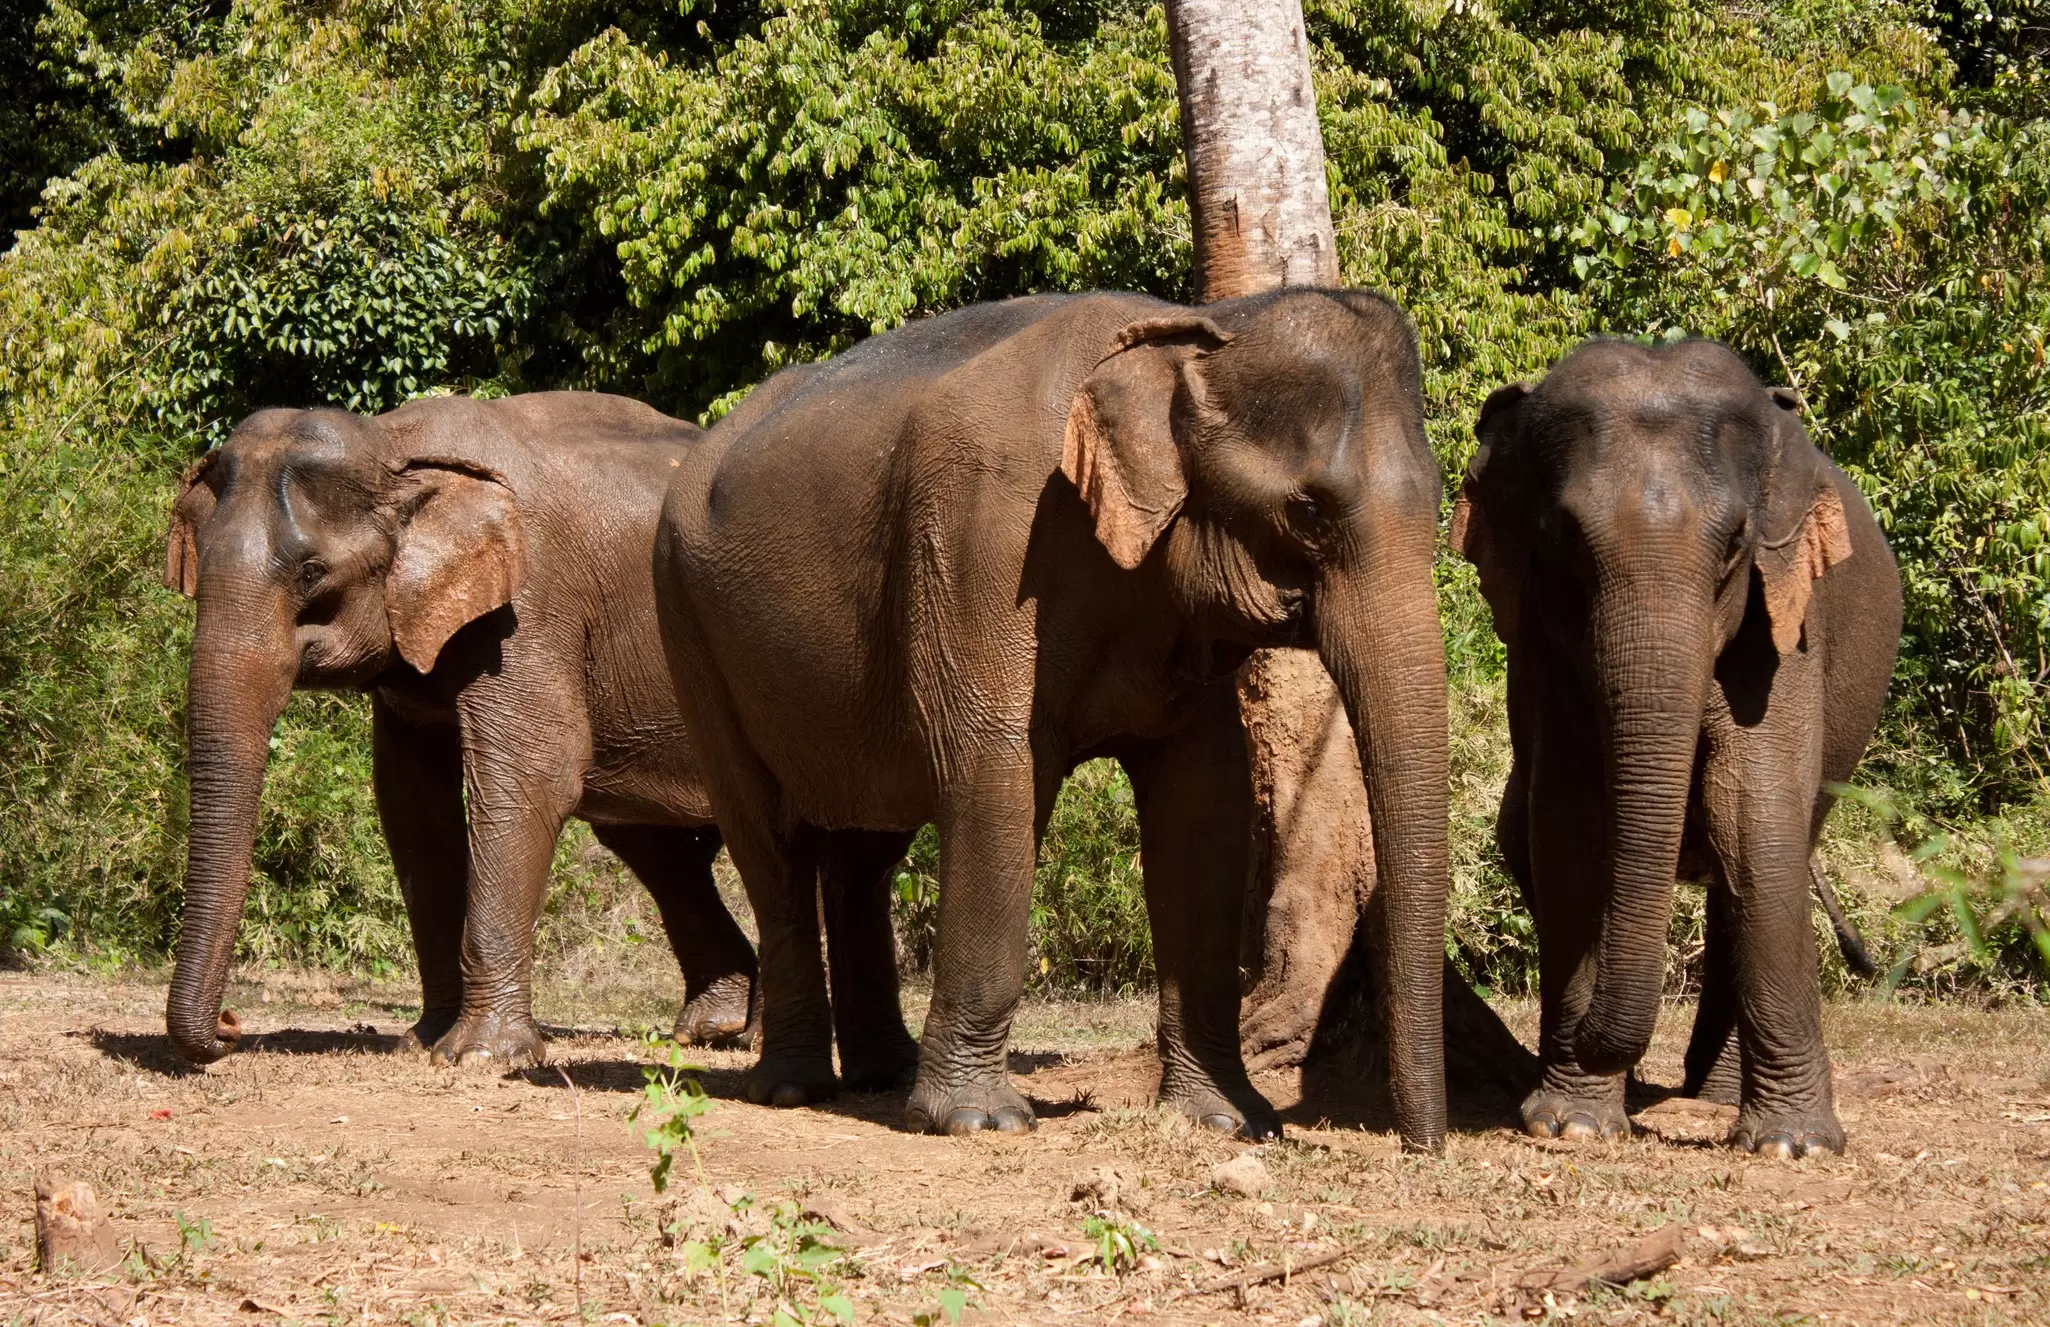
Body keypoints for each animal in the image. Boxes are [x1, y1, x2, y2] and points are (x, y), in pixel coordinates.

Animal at [162, 391, 919, 1083]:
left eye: (311, 573)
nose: (230, 1028)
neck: (395, 443)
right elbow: (412, 808)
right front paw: (422, 1041)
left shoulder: (530, 608)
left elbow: (532, 775)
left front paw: (475, 1057)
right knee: (656, 846)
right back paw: (711, 1028)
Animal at [655, 289, 1451, 1150]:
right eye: (1307, 509)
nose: (1419, 1145)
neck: (1189, 329)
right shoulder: (984, 532)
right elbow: (990, 769)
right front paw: (980, 1120)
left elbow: (1205, 806)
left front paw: (1228, 1120)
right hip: (689, 629)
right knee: (770, 843)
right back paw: (794, 1087)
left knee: (864, 852)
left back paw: (880, 1076)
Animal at [1451, 338, 1903, 1157]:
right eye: (1562, 538)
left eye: (1736, 545)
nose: (1590, 1036)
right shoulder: (1539, 645)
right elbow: (1571, 821)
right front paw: (1573, 1121)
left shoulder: (1784, 620)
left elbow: (1753, 810)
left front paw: (1795, 1144)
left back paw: (1717, 1095)